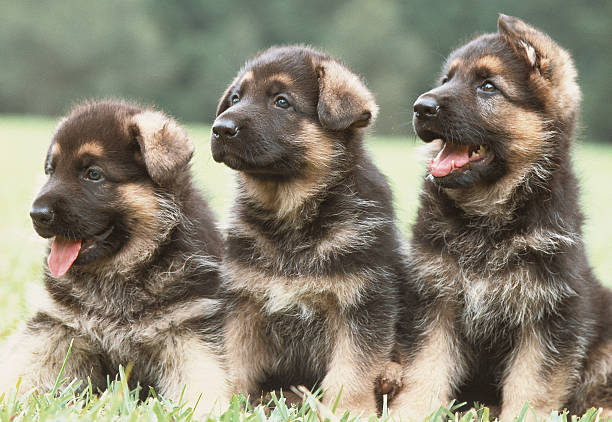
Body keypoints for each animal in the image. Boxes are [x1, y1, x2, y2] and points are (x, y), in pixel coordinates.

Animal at [390, 14, 612, 420]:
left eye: (488, 86)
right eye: (446, 80)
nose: (421, 106)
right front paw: (409, 412)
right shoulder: (434, 299)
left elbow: (532, 384)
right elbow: (425, 369)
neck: (489, 218)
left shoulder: (547, 313)